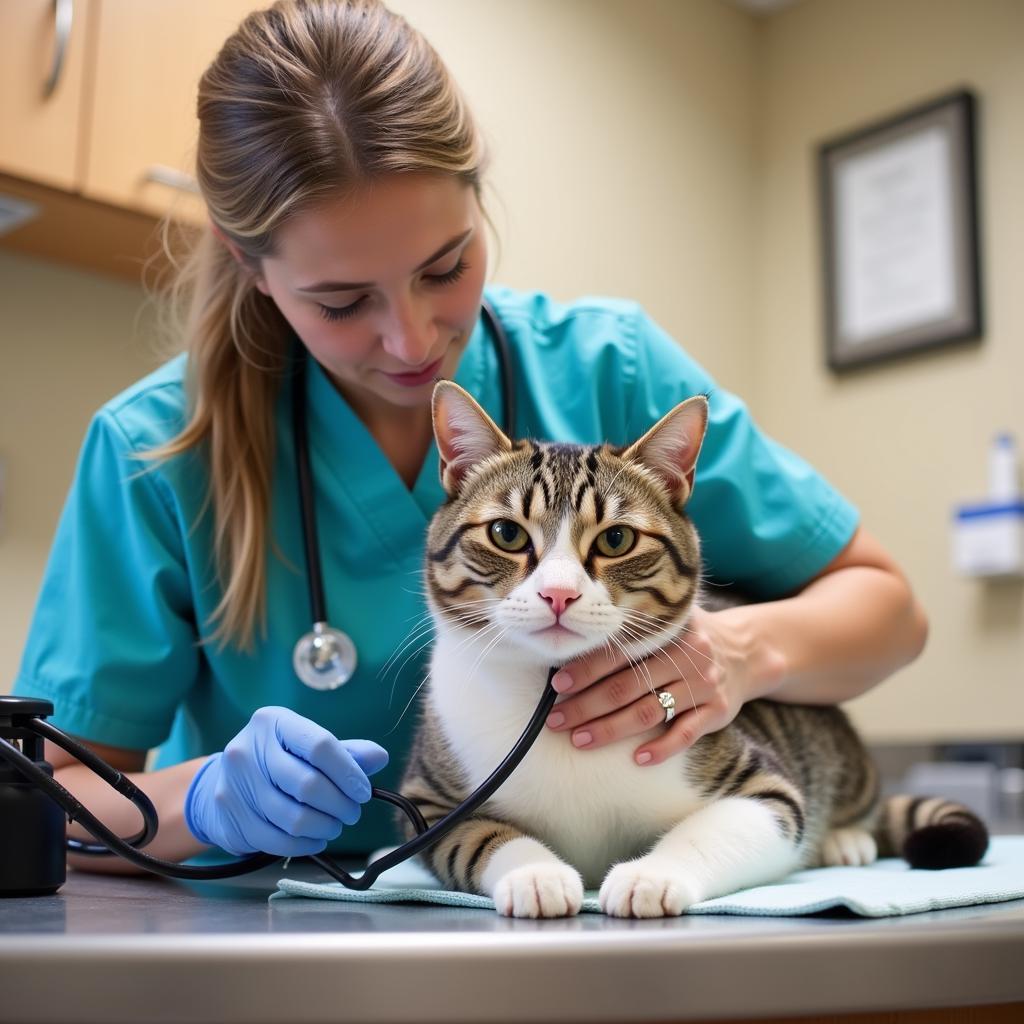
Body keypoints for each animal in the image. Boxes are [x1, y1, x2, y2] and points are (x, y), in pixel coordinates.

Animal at [395, 378, 987, 921]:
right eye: (506, 533)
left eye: (615, 540)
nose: (558, 593)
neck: (550, 695)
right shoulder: (429, 804)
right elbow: (478, 836)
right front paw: (535, 872)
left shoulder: (764, 787)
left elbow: (717, 828)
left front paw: (651, 875)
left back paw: (845, 838)